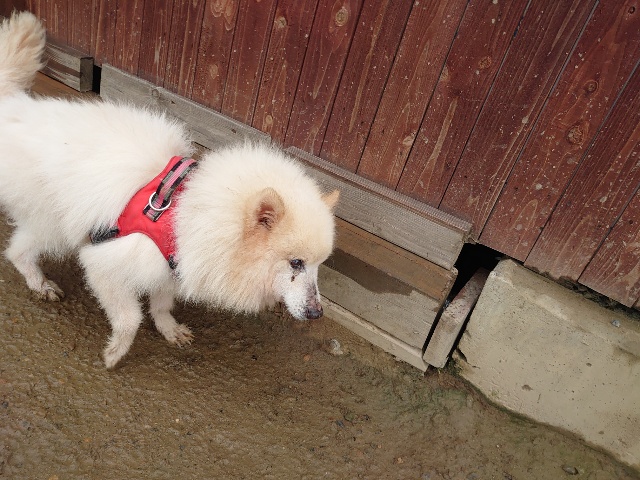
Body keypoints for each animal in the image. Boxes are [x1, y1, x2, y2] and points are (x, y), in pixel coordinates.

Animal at [0, 12, 339, 368]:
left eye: (318, 265)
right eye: (296, 263)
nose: (317, 313)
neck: (188, 210)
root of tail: (13, 106)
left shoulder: (171, 269)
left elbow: (161, 306)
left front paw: (169, 330)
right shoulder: (105, 265)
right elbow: (130, 319)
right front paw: (116, 352)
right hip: (51, 222)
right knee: (17, 251)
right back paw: (40, 283)